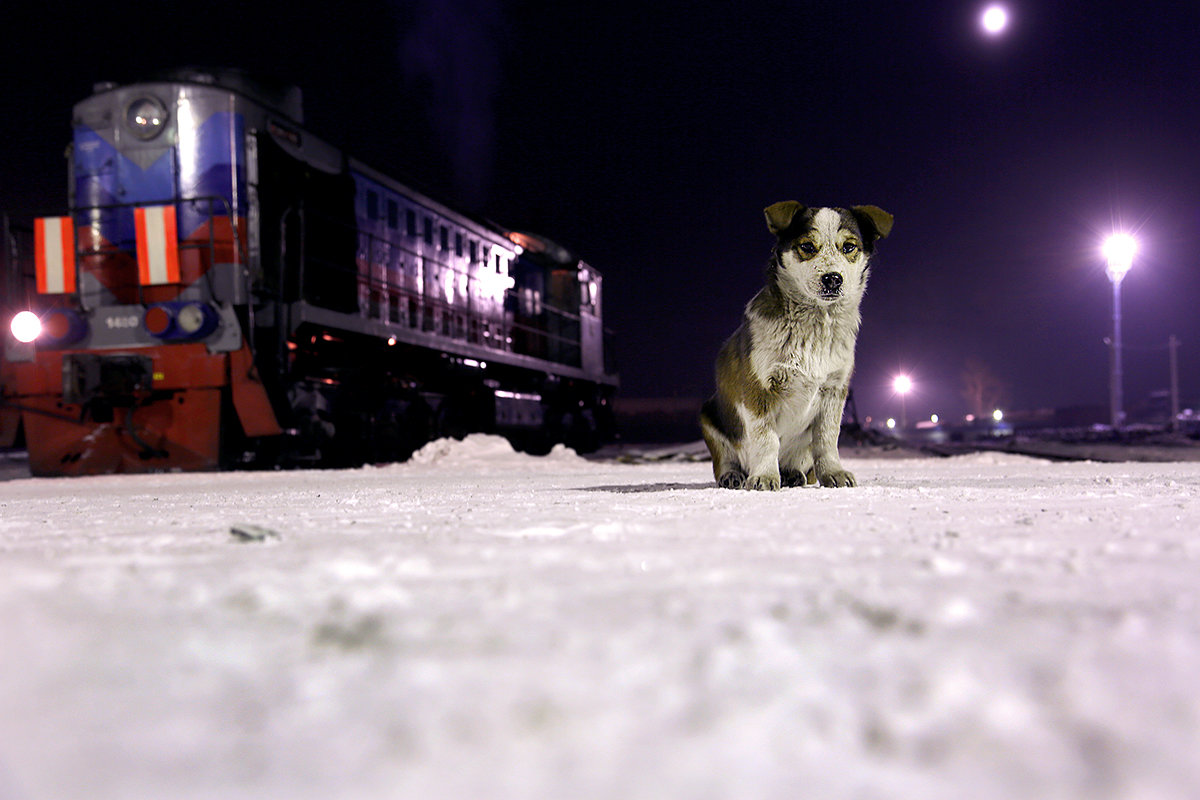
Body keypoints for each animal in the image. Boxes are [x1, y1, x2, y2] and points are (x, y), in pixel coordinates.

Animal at [700, 200, 897, 491]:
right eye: (807, 246)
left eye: (849, 247)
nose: (832, 279)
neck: (815, 325)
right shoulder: (758, 388)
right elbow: (766, 439)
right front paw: (765, 476)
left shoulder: (835, 390)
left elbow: (827, 439)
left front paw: (833, 472)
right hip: (709, 415)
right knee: (724, 461)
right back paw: (734, 475)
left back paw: (792, 473)